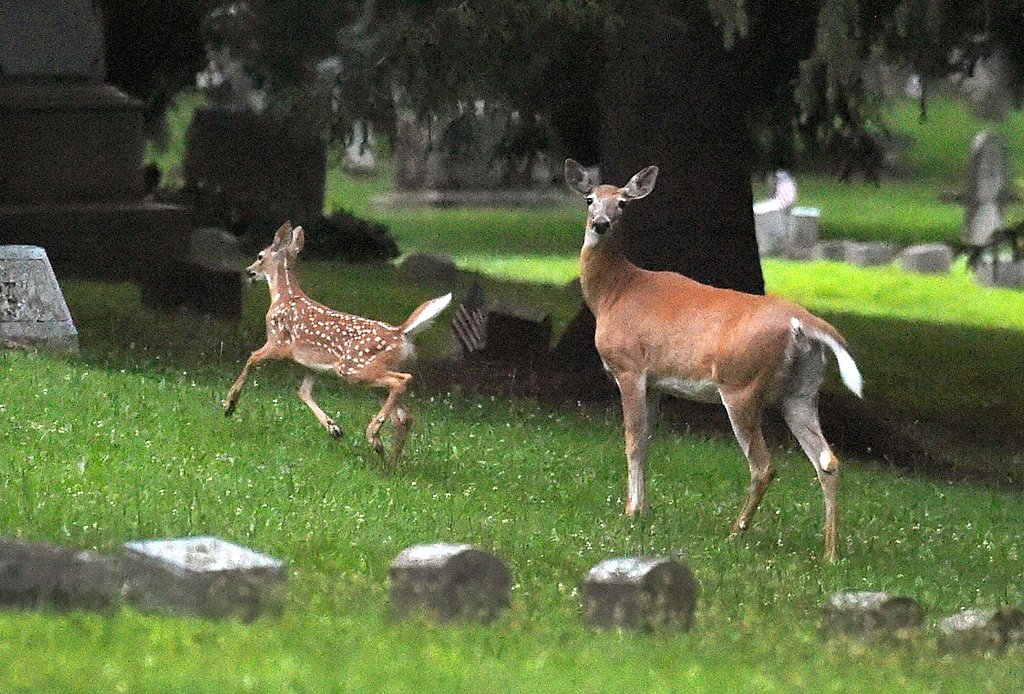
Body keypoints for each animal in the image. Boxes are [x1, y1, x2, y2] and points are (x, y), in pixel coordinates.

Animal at [223, 221, 452, 467]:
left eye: (260, 256)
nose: (249, 271)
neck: (283, 296)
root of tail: (401, 333)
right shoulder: (311, 365)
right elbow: (304, 392)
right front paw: (334, 428)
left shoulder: (278, 343)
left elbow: (251, 358)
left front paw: (230, 405)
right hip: (372, 377)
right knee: (404, 416)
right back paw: (389, 462)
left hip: (354, 367)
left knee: (402, 383)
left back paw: (374, 436)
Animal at [564, 159, 863, 561]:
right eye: (590, 200)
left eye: (623, 203)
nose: (600, 224)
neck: (614, 293)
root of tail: (801, 322)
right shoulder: (657, 381)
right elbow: (648, 439)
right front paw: (645, 510)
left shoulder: (629, 367)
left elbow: (632, 439)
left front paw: (631, 511)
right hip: (801, 391)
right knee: (827, 461)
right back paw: (829, 554)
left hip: (741, 384)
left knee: (764, 465)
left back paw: (736, 532)